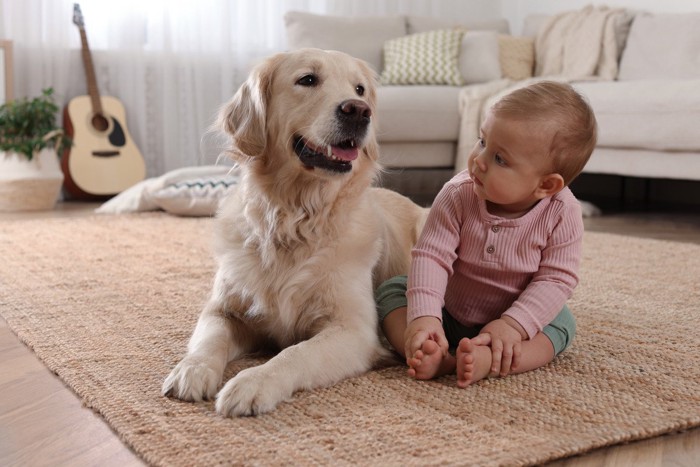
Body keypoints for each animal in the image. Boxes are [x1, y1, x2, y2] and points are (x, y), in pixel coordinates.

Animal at [163, 48, 426, 416]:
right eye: (308, 79)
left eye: (359, 89)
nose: (360, 111)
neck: (295, 219)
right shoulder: (223, 309)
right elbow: (208, 339)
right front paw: (192, 369)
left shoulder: (353, 330)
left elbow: (295, 353)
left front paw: (253, 382)